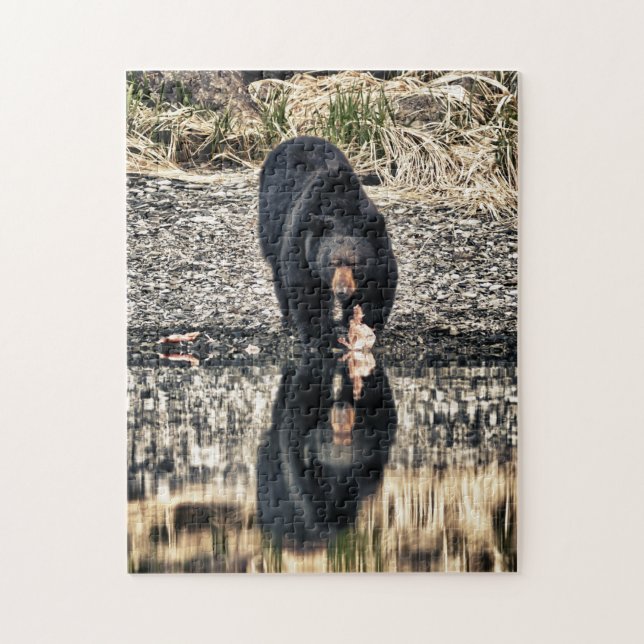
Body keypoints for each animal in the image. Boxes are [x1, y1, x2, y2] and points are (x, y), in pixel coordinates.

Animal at [258, 136, 397, 347]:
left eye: (356, 264)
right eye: (332, 263)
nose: (341, 291)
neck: (341, 210)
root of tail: (298, 138)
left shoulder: (379, 250)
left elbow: (377, 290)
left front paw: (365, 329)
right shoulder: (303, 244)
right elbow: (307, 293)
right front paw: (321, 338)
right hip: (271, 223)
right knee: (278, 270)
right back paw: (288, 319)